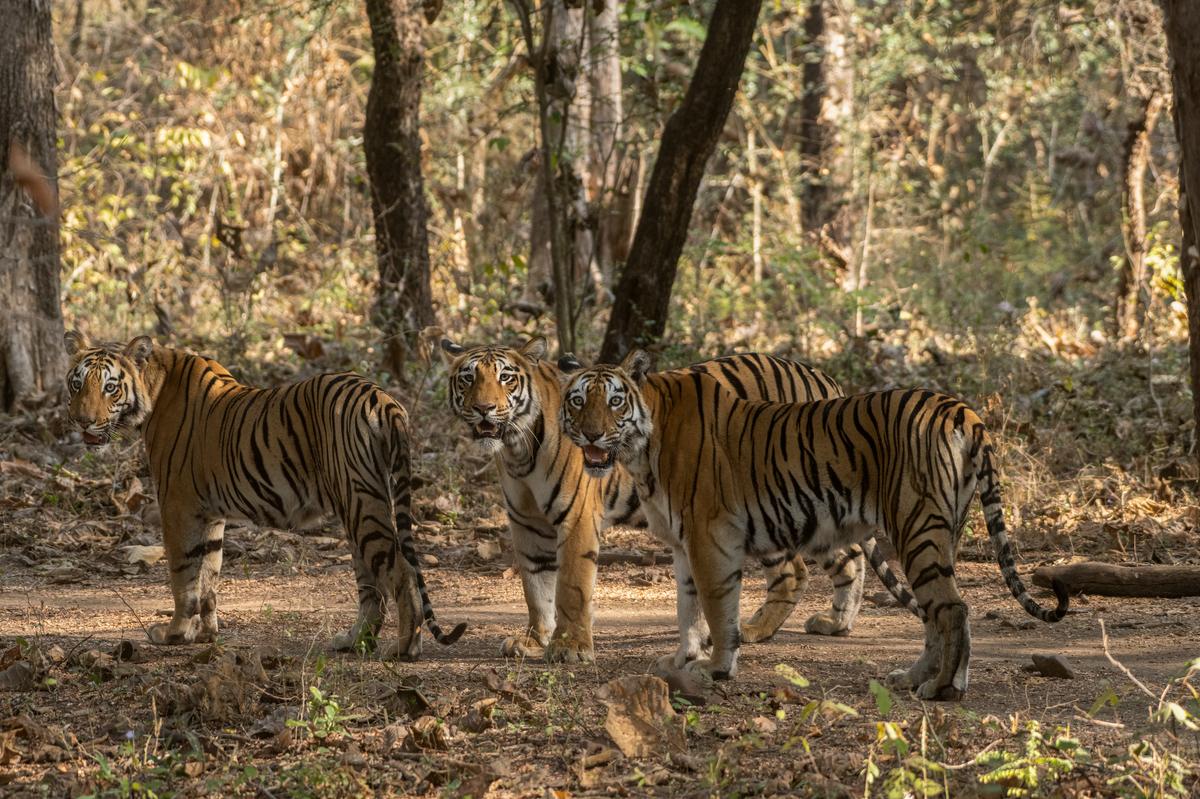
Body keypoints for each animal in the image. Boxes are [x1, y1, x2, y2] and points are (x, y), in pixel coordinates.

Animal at [63, 331, 465, 658]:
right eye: (77, 384)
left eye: (110, 387)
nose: (82, 421)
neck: (154, 386)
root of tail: (381, 396)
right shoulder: (210, 513)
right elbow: (209, 574)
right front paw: (205, 634)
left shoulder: (177, 504)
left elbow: (183, 574)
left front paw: (174, 634)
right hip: (360, 506)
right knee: (372, 586)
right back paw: (353, 641)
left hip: (361, 503)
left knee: (400, 571)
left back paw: (404, 648)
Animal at [432, 329, 914, 667]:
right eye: (469, 378)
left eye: (505, 378)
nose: (485, 409)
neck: (516, 448)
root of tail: (821, 377)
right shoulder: (527, 524)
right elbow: (536, 587)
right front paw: (534, 640)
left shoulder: (576, 519)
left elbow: (569, 586)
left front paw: (569, 648)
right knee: (848, 556)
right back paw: (834, 624)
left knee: (798, 569)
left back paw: (755, 630)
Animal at [558, 349, 1069, 700]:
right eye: (578, 400)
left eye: (615, 402)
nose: (590, 433)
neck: (642, 449)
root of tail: (960, 409)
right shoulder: (683, 544)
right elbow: (687, 609)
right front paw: (682, 659)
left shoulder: (709, 539)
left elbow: (718, 609)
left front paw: (717, 667)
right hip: (940, 534)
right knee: (933, 612)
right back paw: (912, 677)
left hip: (917, 528)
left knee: (952, 610)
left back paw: (943, 689)